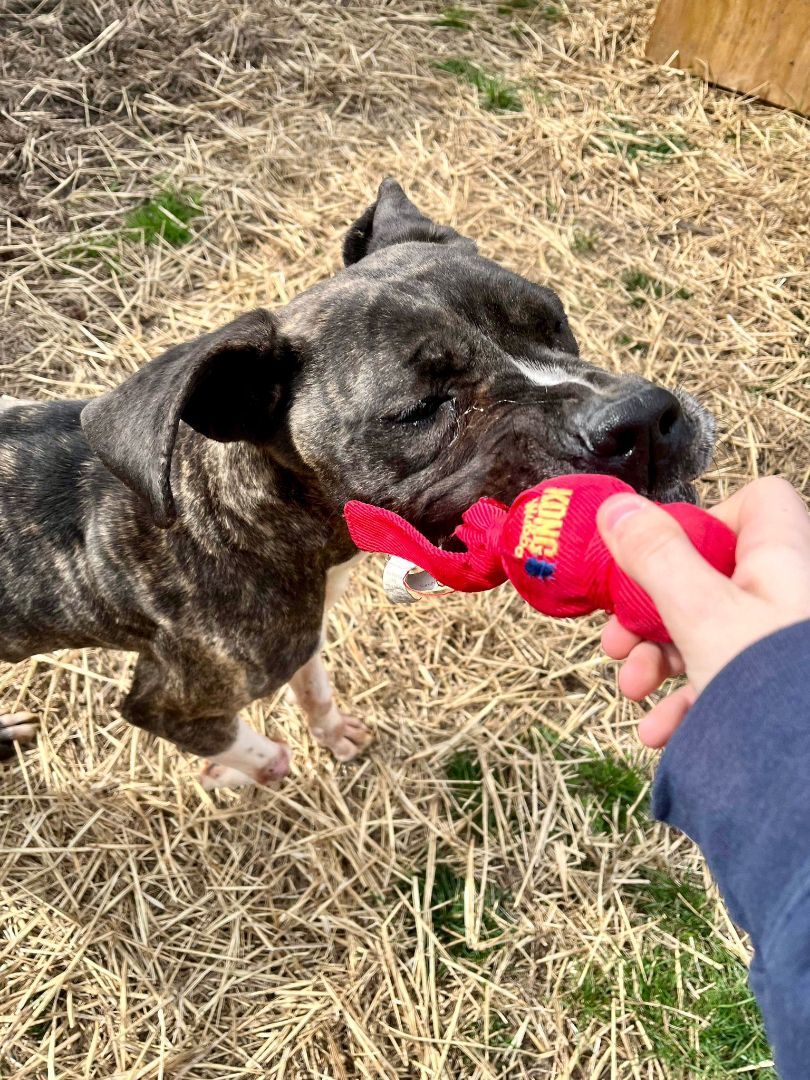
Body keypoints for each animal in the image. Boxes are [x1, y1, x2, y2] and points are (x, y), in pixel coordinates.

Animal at [0, 177, 712, 786]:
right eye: (421, 409)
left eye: (553, 319)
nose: (642, 420)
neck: (230, 519)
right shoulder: (169, 702)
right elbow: (248, 743)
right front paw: (249, 770)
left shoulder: (306, 635)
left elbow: (314, 685)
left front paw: (331, 733)